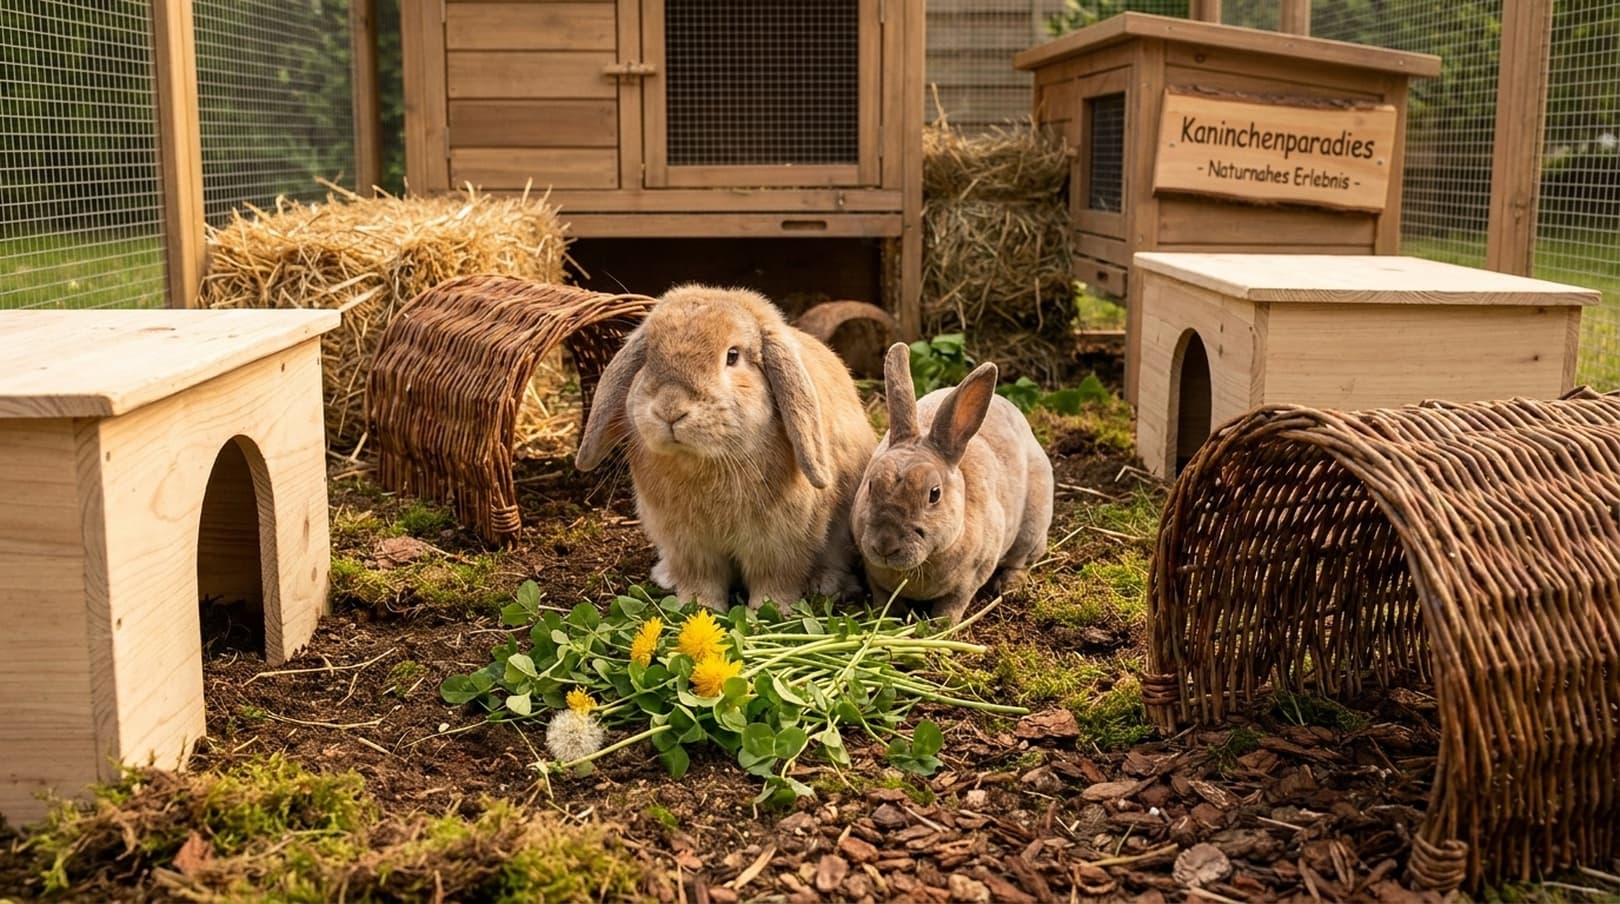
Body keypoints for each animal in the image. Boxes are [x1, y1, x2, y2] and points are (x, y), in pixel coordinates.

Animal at [576, 284, 878, 612]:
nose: (670, 409)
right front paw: (699, 608)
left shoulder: (780, 544)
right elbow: (701, 580)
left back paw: (826, 584)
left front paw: (771, 610)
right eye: (648, 357)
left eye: (732, 356)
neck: (703, 463)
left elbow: (775, 579)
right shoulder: (688, 546)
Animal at [852, 342, 1054, 623]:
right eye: (871, 485)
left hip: (1032, 528)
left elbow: (951, 606)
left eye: (934, 494)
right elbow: (883, 598)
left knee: (1021, 560)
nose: (885, 545)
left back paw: (1010, 586)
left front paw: (939, 628)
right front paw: (889, 619)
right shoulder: (875, 577)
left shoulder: (969, 580)